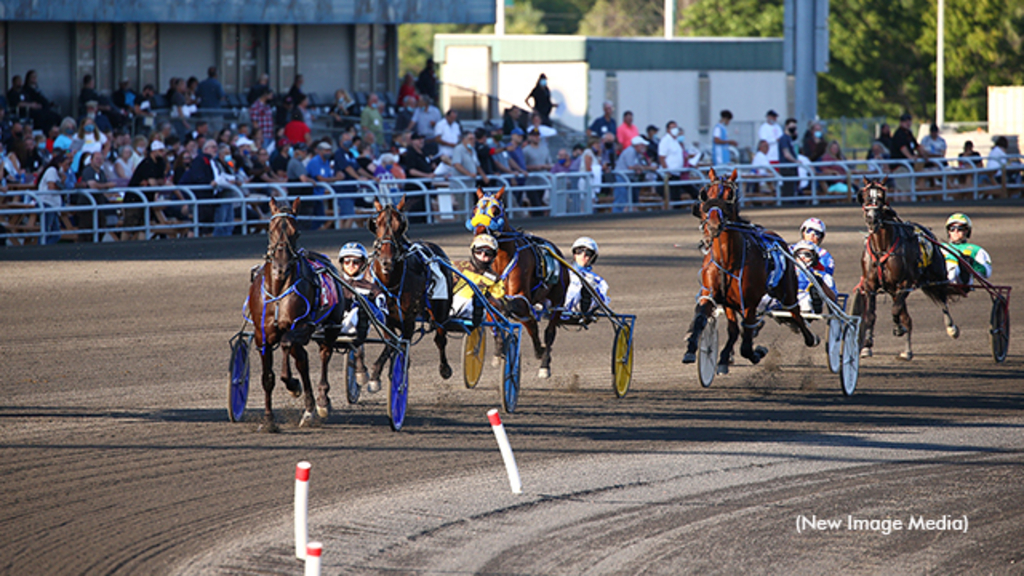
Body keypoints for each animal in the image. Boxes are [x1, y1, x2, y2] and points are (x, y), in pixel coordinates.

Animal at [247, 199, 348, 428]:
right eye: (270, 230)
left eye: (297, 232)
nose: (281, 268)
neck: (278, 290)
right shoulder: (262, 335)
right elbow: (267, 378)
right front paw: (269, 420)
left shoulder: (301, 327)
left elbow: (286, 346)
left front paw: (293, 385)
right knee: (302, 360)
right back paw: (309, 409)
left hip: (330, 327)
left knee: (323, 354)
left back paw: (320, 403)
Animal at [364, 194, 452, 387]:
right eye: (377, 224)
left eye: (400, 226)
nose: (387, 261)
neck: (390, 283)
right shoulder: (384, 318)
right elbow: (391, 342)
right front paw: (376, 374)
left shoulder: (409, 319)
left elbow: (401, 342)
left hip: (440, 310)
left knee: (440, 338)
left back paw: (444, 368)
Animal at [468, 186, 573, 379]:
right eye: (475, 210)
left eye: (495, 211)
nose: (480, 232)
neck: (501, 262)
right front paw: (499, 353)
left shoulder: (521, 297)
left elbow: (523, 316)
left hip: (558, 300)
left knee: (549, 331)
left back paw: (544, 363)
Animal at [684, 168, 819, 368]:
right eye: (707, 194)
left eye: (730, 195)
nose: (714, 224)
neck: (727, 260)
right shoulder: (713, 294)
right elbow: (703, 319)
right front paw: (691, 349)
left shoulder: (749, 302)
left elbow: (746, 344)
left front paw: (757, 353)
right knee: (735, 329)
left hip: (787, 290)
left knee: (795, 313)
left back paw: (811, 338)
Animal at [851, 179, 962, 358]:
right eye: (866, 197)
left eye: (881, 197)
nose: (871, 219)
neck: (882, 248)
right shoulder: (870, 285)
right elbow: (870, 315)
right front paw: (867, 344)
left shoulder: (905, 284)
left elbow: (896, 310)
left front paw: (898, 328)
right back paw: (907, 348)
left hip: (936, 276)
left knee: (942, 298)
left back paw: (949, 328)